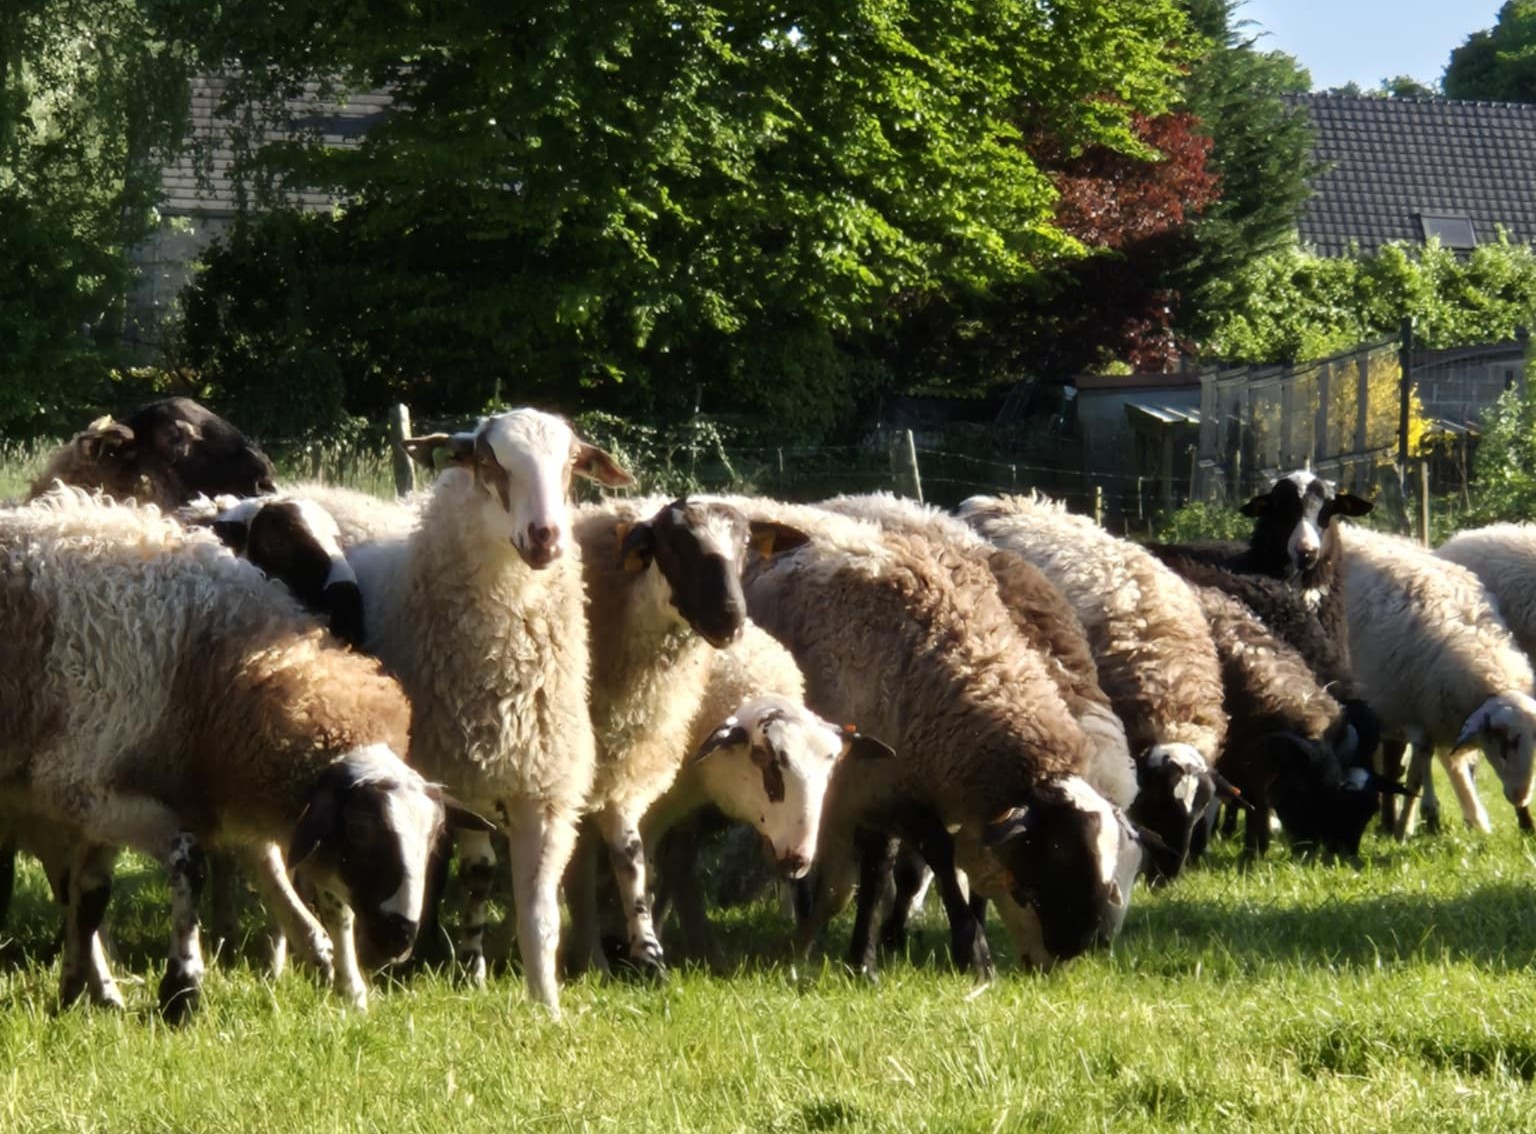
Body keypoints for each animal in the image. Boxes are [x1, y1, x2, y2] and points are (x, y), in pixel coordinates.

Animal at [0, 488, 487, 1019]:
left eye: (434, 838)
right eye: (359, 832)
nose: (400, 938)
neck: (200, 661)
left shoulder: (100, 797)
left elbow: (89, 896)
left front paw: (81, 990)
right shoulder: (81, 786)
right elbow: (185, 862)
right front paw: (182, 987)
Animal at [343, 408, 632, 1015]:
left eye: (572, 463)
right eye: (487, 460)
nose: (546, 536)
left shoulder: (545, 793)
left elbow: (540, 917)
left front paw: (548, 1008)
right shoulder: (456, 777)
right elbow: (476, 871)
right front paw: (468, 969)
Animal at [562, 496, 808, 977]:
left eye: (745, 544)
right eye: (673, 546)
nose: (730, 618)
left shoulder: (623, 765)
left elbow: (629, 853)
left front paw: (644, 952)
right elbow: (577, 869)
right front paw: (592, 958)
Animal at [726, 497, 1146, 977]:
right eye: (1056, 851)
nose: (1070, 954)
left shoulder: (917, 788)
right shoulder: (875, 785)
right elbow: (917, 861)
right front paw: (958, 952)